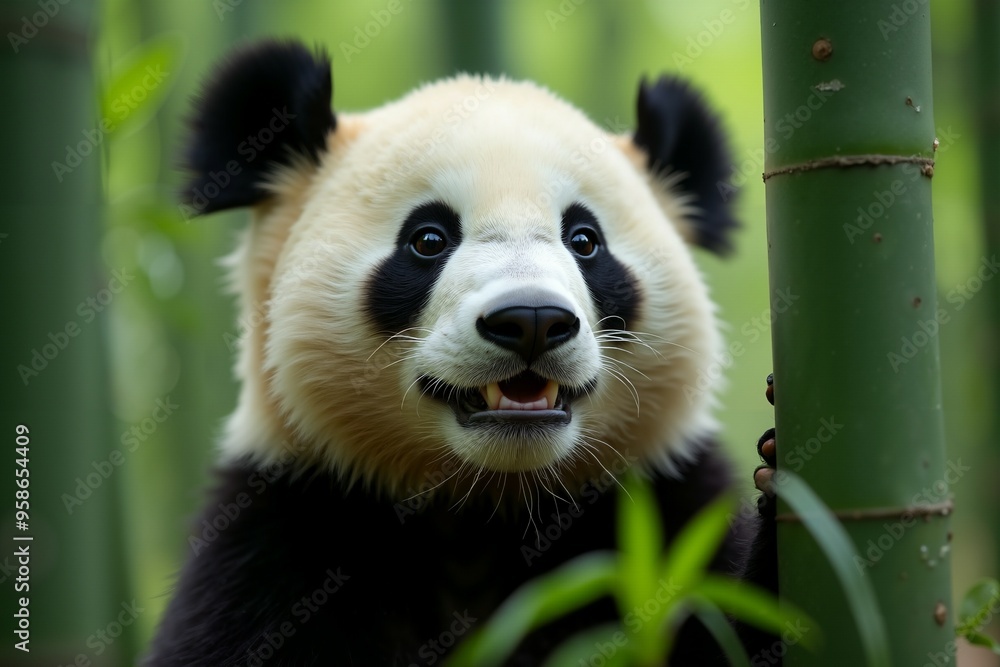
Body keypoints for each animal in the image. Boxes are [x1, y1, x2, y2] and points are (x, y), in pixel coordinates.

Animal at [144, 40, 780, 666]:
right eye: (428, 239)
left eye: (585, 240)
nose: (531, 320)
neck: (486, 503)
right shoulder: (284, 527)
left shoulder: (660, 510)